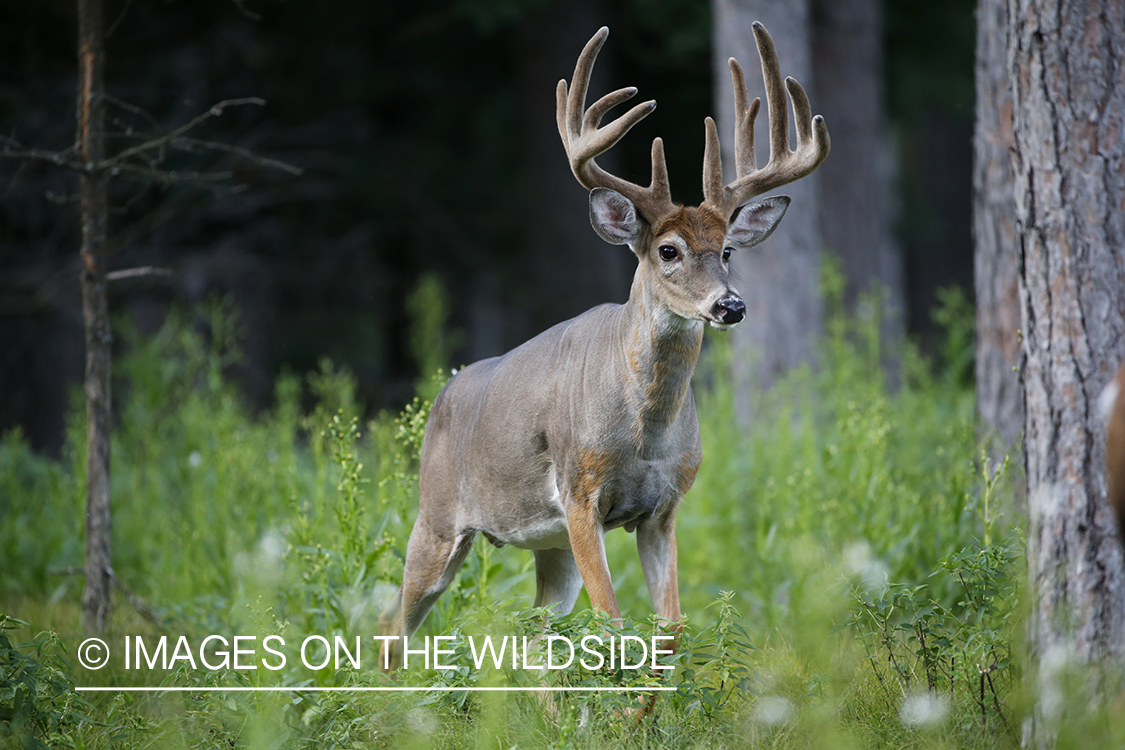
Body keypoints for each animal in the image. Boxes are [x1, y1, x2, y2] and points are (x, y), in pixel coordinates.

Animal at [378, 22, 828, 674]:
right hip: (436, 518)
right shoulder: (580, 492)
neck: (644, 434)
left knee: (535, 637)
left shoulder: (664, 508)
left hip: (548, 544)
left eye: (727, 250)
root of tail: (442, 395)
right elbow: (613, 626)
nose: (730, 306)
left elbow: (670, 631)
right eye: (667, 250)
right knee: (392, 625)